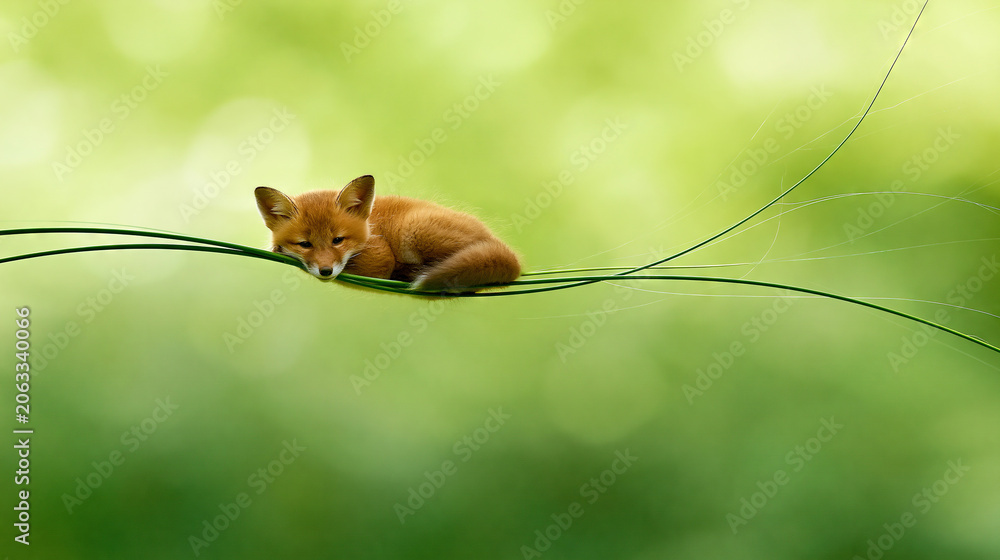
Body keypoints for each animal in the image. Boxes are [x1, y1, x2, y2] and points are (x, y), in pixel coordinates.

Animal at [254, 175, 521, 292]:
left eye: (338, 240)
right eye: (305, 244)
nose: (326, 271)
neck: (370, 229)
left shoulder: (380, 258)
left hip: (413, 229)